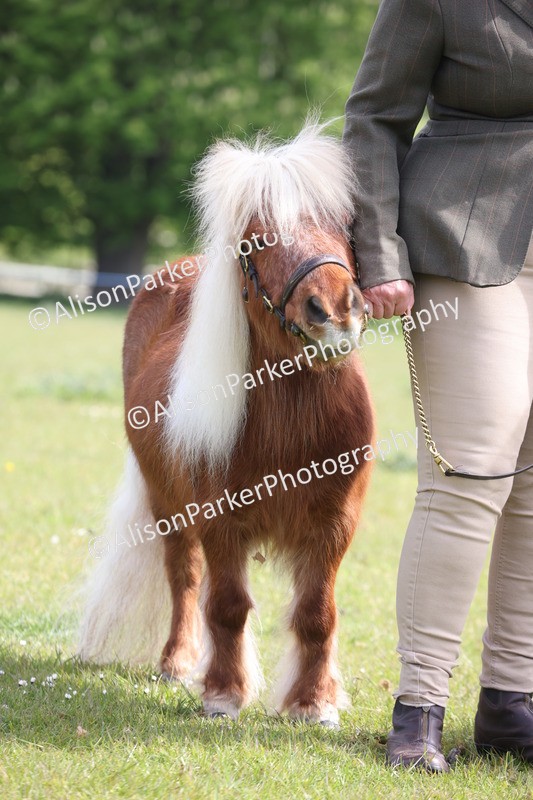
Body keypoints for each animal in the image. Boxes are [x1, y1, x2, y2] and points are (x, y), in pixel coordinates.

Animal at [78, 120, 375, 726]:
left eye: (341, 225)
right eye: (257, 240)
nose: (334, 311)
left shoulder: (335, 525)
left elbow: (318, 613)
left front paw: (314, 703)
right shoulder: (221, 522)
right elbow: (228, 605)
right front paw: (223, 693)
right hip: (168, 506)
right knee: (184, 577)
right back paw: (177, 661)